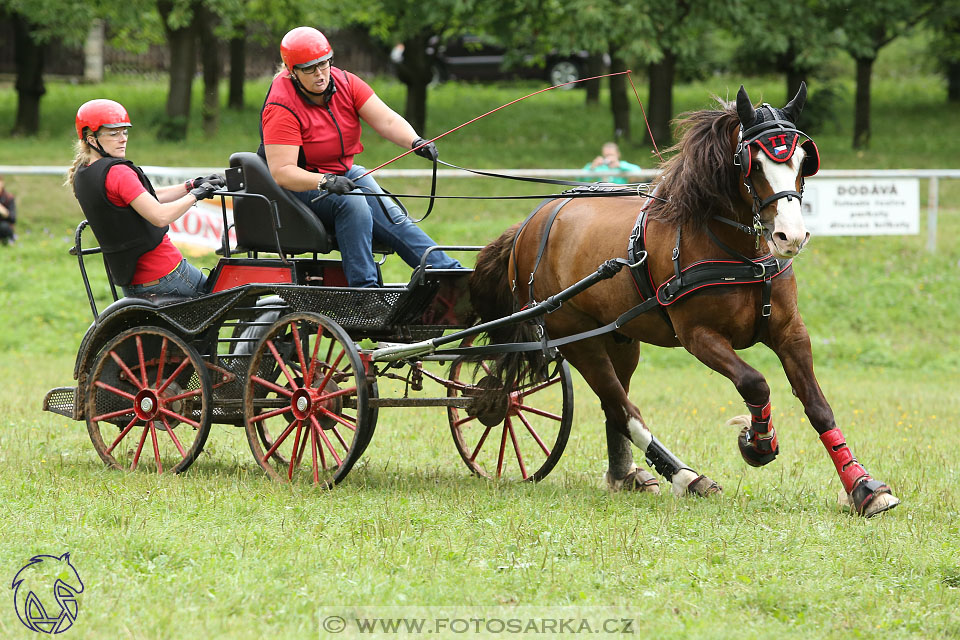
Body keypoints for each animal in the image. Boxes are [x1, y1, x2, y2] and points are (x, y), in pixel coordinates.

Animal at [472, 84, 900, 516]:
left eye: (801, 161)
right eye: (754, 164)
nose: (790, 237)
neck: (737, 251)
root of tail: (529, 225)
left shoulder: (789, 330)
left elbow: (817, 405)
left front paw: (862, 484)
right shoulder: (699, 336)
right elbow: (755, 383)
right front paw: (758, 442)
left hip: (619, 338)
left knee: (614, 403)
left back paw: (626, 475)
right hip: (576, 338)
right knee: (623, 407)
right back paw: (685, 476)